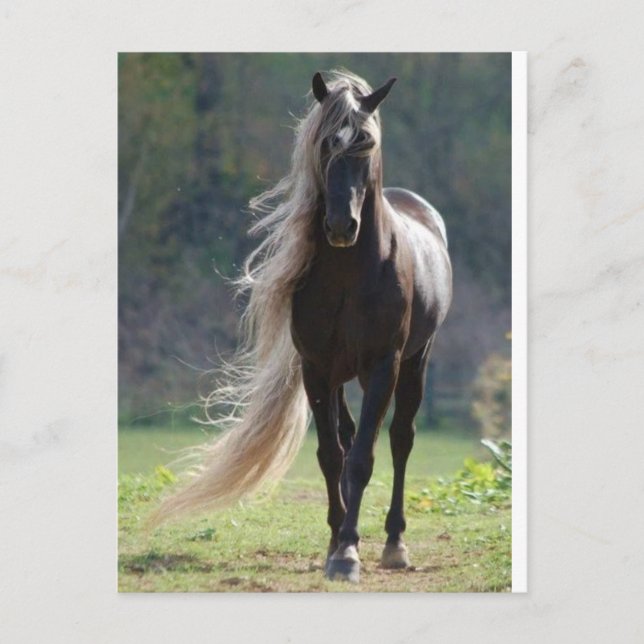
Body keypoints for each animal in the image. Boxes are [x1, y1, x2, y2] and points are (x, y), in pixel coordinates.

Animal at [153, 69, 452, 584]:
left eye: (365, 143)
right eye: (326, 144)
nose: (341, 226)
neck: (351, 274)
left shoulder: (383, 366)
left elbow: (364, 457)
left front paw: (350, 553)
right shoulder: (317, 368)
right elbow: (332, 455)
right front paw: (338, 542)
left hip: (415, 361)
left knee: (400, 439)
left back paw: (394, 542)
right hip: (342, 376)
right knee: (350, 437)